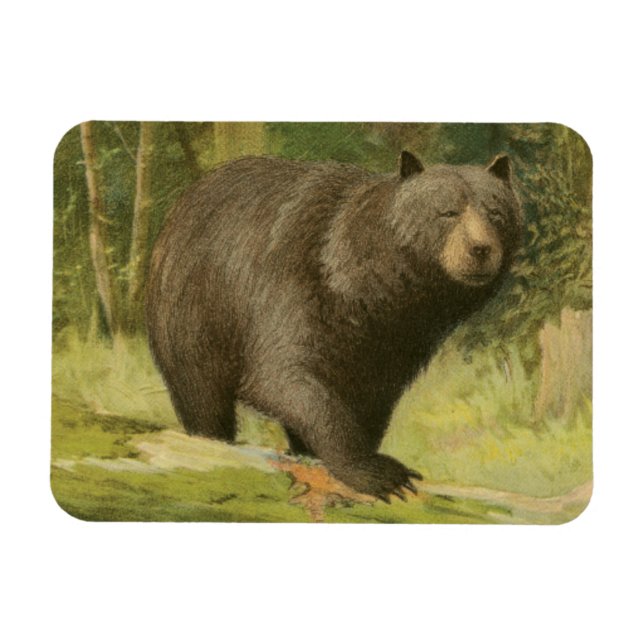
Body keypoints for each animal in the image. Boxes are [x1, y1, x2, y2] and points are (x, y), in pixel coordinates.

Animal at [146, 151, 522, 502]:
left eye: (496, 214)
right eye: (447, 212)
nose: (480, 249)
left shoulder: (398, 341)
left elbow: (373, 397)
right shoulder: (292, 285)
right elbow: (284, 376)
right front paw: (378, 472)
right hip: (193, 312)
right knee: (201, 394)